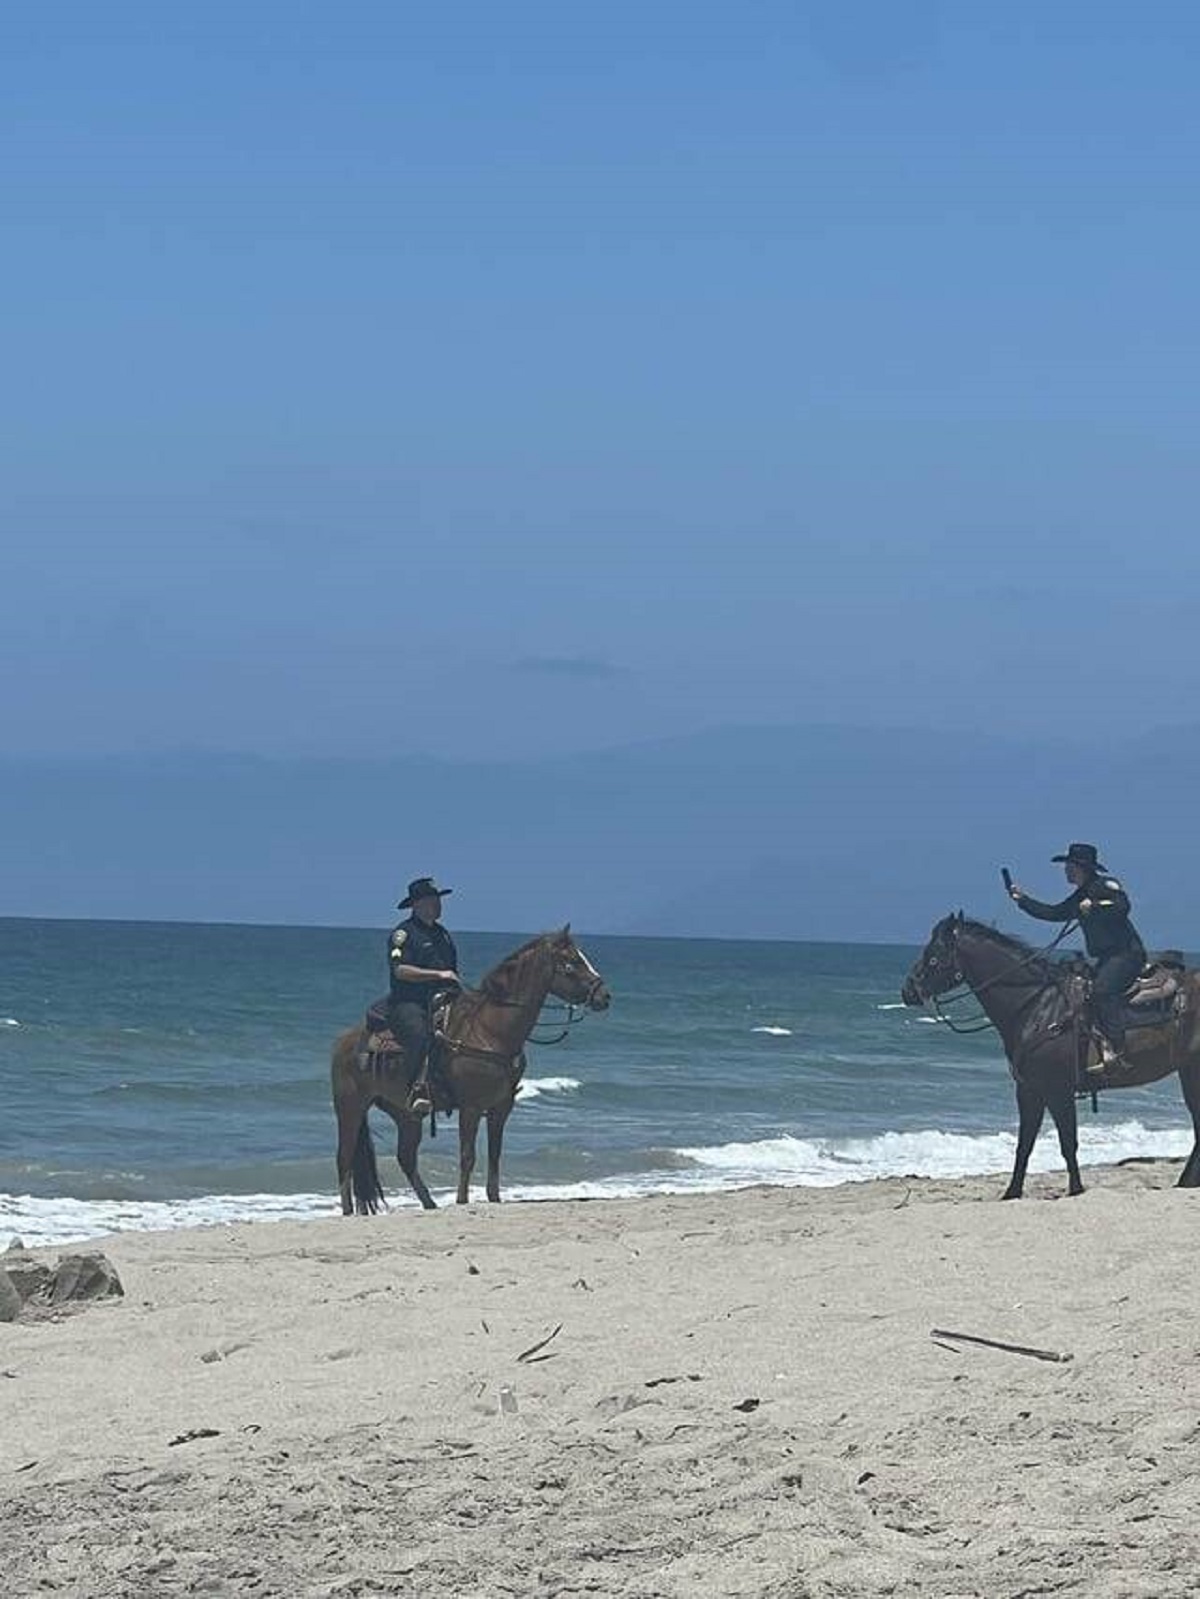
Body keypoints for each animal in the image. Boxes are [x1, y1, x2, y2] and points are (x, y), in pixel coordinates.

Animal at [329, 927, 611, 1208]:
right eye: (571, 963)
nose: (605, 996)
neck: (491, 1032)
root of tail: (343, 1040)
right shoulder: (471, 1107)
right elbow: (468, 1155)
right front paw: (462, 1200)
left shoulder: (501, 1107)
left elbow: (495, 1154)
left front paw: (494, 1197)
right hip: (351, 1106)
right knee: (344, 1157)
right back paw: (349, 1210)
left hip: (404, 1114)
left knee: (405, 1158)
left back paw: (429, 1205)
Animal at [902, 914, 1200, 1202]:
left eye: (933, 955)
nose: (908, 991)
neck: (1038, 1008)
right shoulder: (1029, 1091)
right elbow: (1024, 1145)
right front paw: (1012, 1193)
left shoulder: (1058, 1091)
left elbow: (1068, 1143)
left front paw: (1076, 1190)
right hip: (1187, 1071)